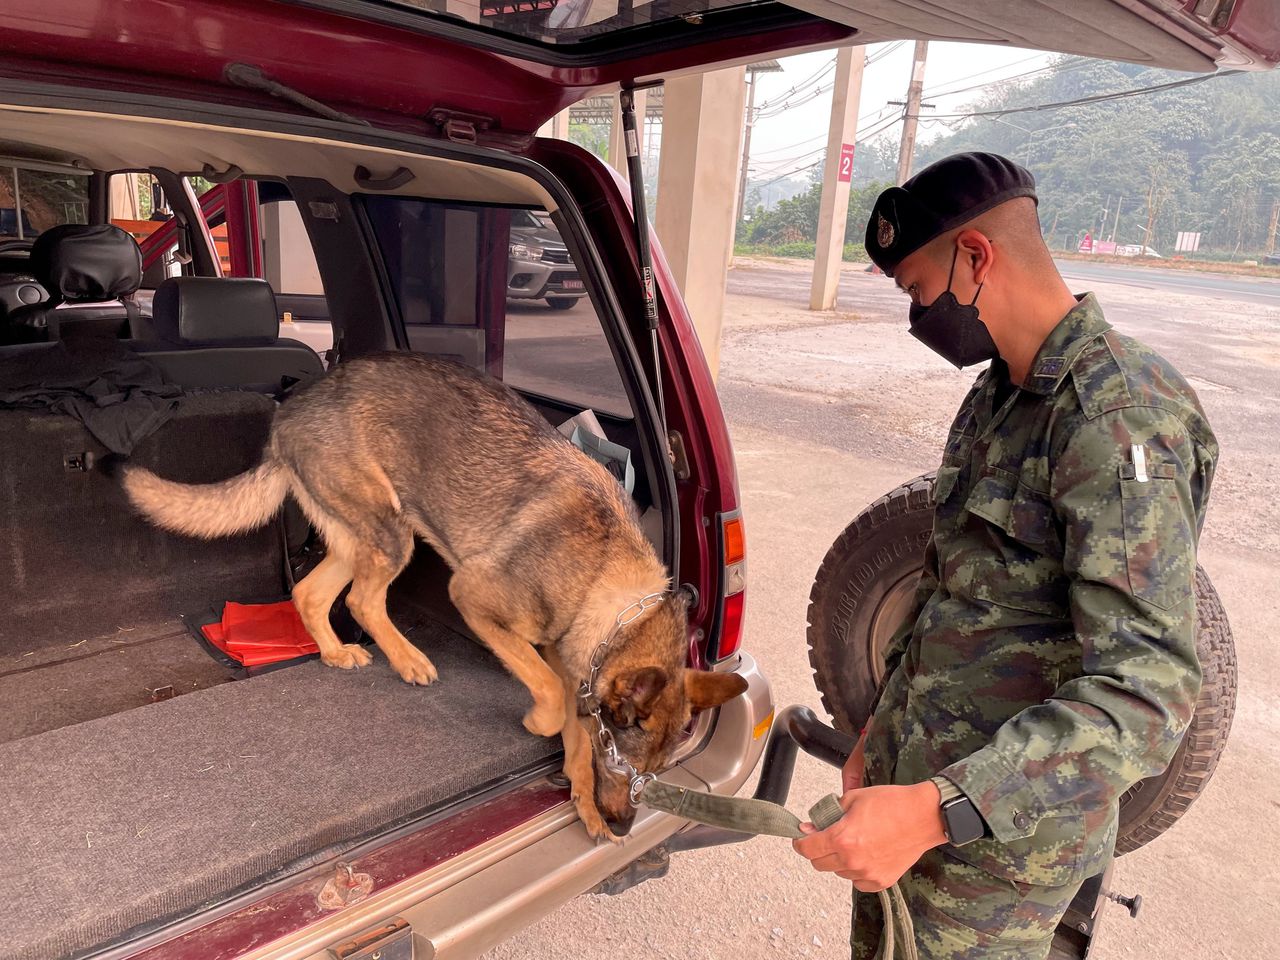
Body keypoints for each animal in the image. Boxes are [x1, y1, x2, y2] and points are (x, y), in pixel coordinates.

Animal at [124, 355, 747, 839]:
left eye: (651, 775)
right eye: (624, 765)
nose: (623, 826)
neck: (612, 591)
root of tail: (288, 414)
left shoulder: (576, 664)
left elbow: (573, 733)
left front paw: (583, 803)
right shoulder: (475, 598)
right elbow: (549, 694)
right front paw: (538, 724)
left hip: (363, 537)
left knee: (309, 593)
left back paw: (335, 652)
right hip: (391, 532)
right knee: (362, 603)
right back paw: (408, 660)